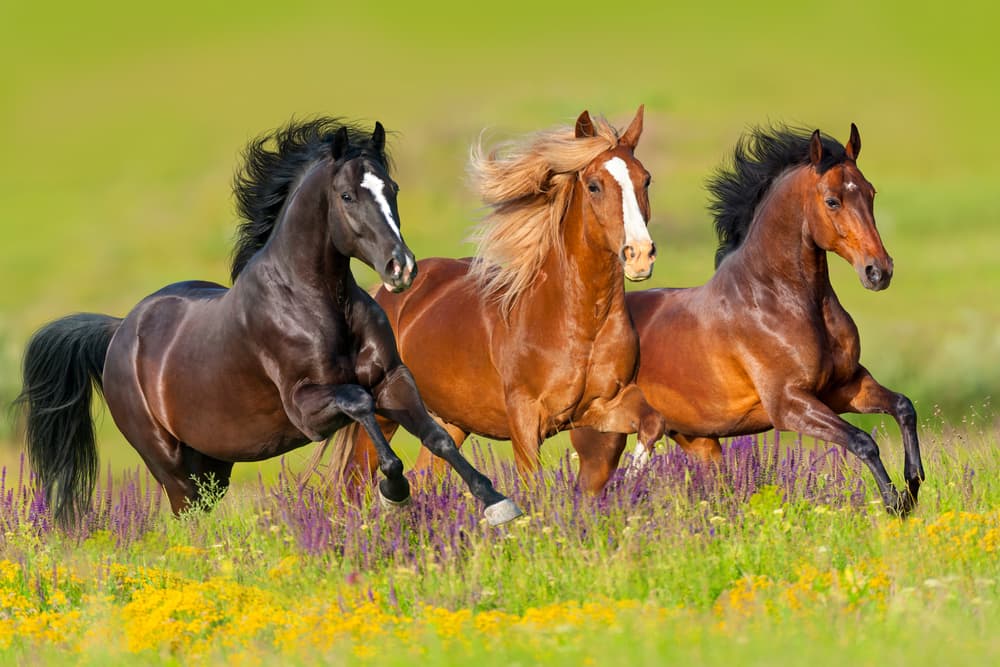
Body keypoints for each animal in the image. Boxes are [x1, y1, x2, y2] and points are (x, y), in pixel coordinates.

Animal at [16, 117, 522, 527]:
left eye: (392, 189)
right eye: (347, 195)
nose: (402, 269)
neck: (317, 304)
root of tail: (120, 331)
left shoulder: (393, 380)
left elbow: (438, 437)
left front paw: (497, 503)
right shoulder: (307, 409)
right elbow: (360, 403)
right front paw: (394, 492)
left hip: (213, 465)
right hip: (171, 466)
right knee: (187, 520)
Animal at [334, 107, 666, 488]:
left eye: (645, 180)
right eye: (594, 185)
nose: (639, 255)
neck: (580, 323)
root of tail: (386, 296)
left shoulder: (602, 406)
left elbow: (652, 423)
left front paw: (629, 481)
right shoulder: (525, 419)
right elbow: (533, 484)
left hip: (451, 419)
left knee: (423, 475)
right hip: (386, 412)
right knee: (355, 480)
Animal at [569, 124, 924, 516]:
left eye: (870, 192)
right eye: (833, 200)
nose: (879, 271)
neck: (778, 299)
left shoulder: (845, 387)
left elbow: (903, 407)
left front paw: (913, 483)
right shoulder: (790, 405)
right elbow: (863, 441)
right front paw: (895, 503)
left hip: (699, 441)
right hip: (602, 440)